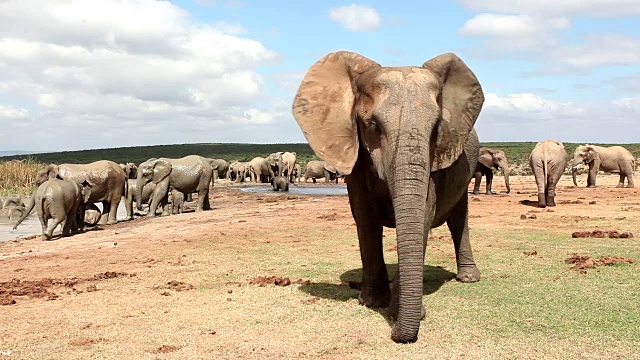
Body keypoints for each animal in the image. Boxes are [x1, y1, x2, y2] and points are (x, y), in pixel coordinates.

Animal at [292, 50, 482, 344]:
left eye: (436, 128)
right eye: (373, 126)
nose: (395, 334)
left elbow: (423, 216)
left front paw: (397, 311)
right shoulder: (355, 156)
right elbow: (365, 217)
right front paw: (372, 303)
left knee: (458, 217)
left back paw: (469, 279)